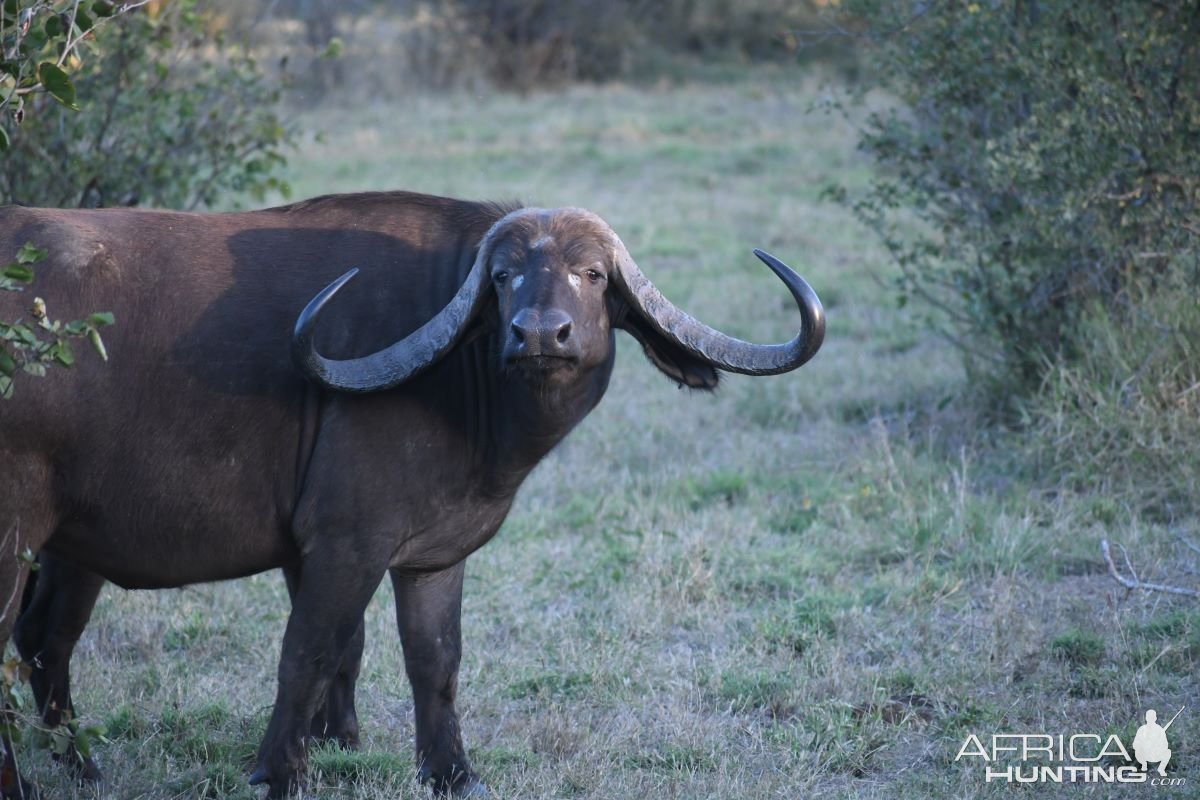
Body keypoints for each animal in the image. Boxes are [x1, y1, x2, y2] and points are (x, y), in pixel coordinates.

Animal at [0, 190, 825, 796]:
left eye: (593, 274)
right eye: (503, 278)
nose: (539, 335)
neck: (459, 382)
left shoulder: (432, 556)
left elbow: (431, 658)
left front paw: (450, 772)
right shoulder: (344, 543)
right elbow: (310, 650)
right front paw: (279, 771)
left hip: (72, 550)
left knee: (45, 642)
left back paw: (81, 766)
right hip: (19, 537)